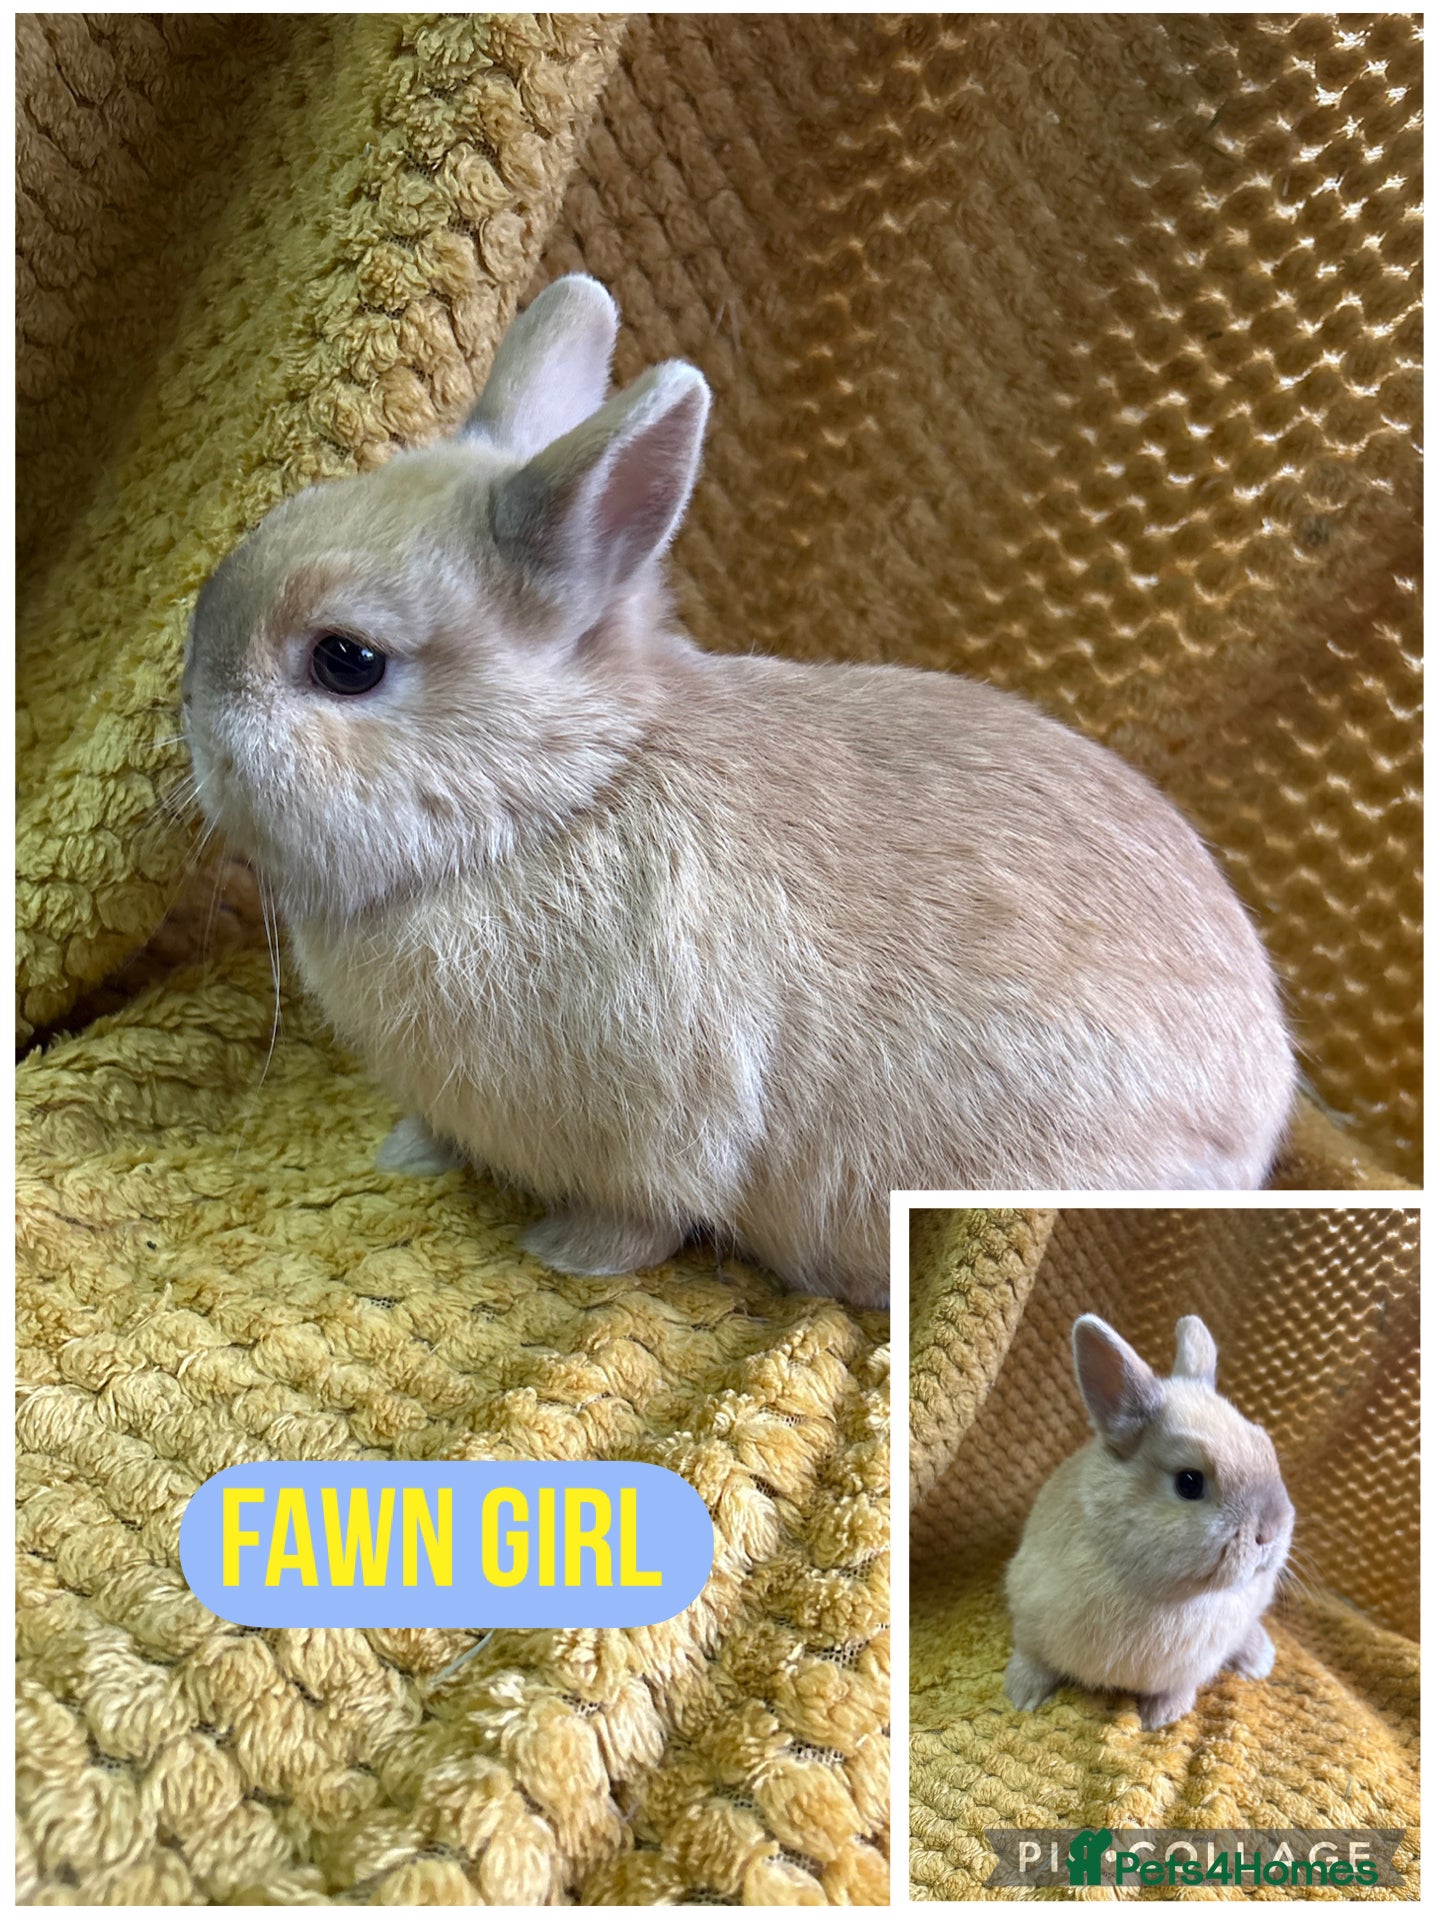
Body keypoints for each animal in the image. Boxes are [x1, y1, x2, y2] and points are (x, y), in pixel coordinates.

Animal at [182, 273, 1293, 1310]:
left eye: (347, 661)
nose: (187, 709)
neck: (561, 797)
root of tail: (1263, 1109)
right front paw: (408, 1152)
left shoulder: (659, 1132)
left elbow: (641, 1217)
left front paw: (564, 1256)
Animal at [1004, 1312, 1294, 1728]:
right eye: (1189, 1482)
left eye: (1265, 1446)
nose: (1270, 1533)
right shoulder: (1029, 1610)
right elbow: (1033, 1656)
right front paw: (1021, 1695)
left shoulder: (1190, 1666)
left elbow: (1176, 1688)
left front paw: (1163, 1719)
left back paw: (1258, 1661)